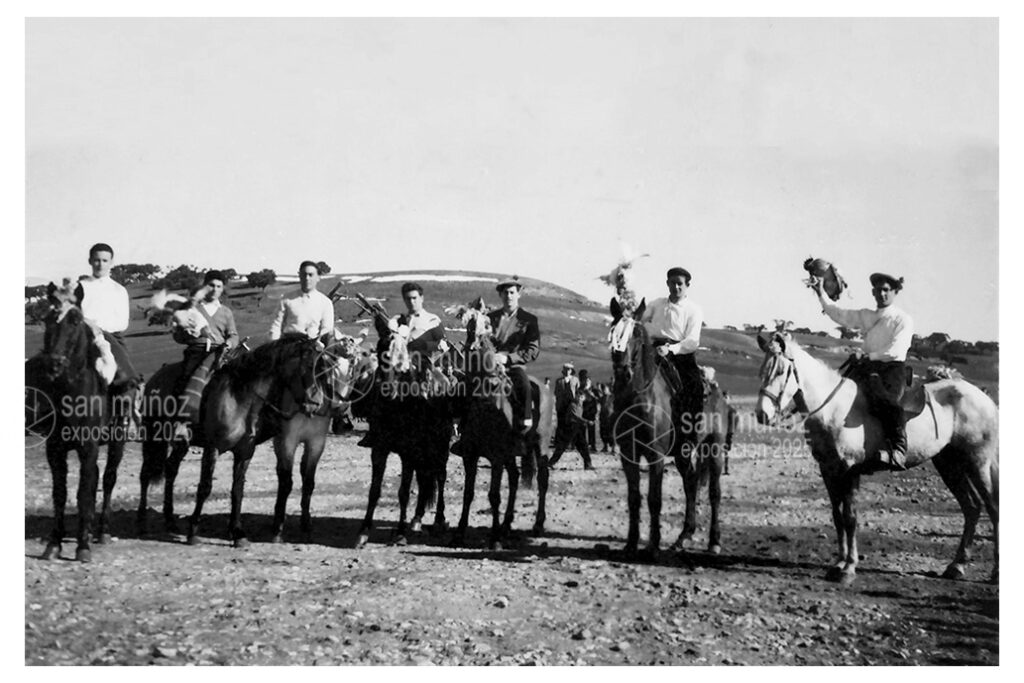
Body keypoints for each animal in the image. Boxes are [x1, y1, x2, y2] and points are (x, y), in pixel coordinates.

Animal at [25, 281, 134, 562]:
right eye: (47, 319)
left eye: (74, 320)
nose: (54, 363)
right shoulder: (55, 450)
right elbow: (61, 494)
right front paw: (54, 543)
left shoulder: (88, 447)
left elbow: (84, 492)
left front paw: (82, 546)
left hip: (117, 442)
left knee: (107, 480)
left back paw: (102, 531)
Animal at [185, 332, 368, 546]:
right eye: (326, 365)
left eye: (354, 366)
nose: (339, 406)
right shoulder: (284, 441)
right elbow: (285, 481)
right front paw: (277, 529)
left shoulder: (315, 442)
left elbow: (308, 482)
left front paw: (306, 526)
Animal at [448, 298, 554, 548]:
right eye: (468, 323)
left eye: (487, 324)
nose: (472, 345)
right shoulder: (470, 455)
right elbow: (468, 493)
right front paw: (460, 531)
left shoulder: (496, 457)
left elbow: (494, 495)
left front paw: (494, 537)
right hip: (511, 453)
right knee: (514, 479)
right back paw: (506, 525)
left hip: (540, 444)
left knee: (542, 480)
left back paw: (537, 524)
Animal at [608, 297, 733, 559]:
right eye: (613, 332)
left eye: (636, 334)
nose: (623, 372)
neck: (640, 398)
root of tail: (719, 392)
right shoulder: (628, 454)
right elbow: (634, 498)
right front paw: (631, 543)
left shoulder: (655, 456)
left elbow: (654, 499)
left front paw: (653, 545)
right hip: (683, 454)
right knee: (691, 483)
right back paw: (684, 536)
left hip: (714, 448)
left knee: (714, 493)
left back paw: (713, 541)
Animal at [754, 331, 999, 584]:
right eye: (763, 370)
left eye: (780, 371)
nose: (762, 414)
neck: (832, 410)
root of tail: (982, 396)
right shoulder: (828, 470)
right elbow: (837, 516)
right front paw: (838, 563)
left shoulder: (849, 470)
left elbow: (850, 517)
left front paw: (848, 568)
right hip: (949, 464)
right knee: (972, 507)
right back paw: (956, 566)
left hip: (978, 462)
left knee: (992, 507)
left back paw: (994, 573)